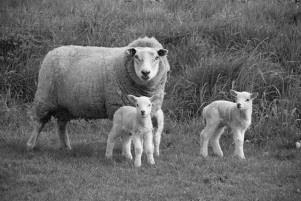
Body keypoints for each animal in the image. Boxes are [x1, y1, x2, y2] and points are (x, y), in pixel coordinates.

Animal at [25, 36, 169, 157]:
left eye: (156, 57)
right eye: (137, 57)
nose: (145, 73)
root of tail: (52, 51)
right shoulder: (119, 108)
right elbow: (126, 135)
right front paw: (127, 152)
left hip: (65, 105)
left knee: (61, 125)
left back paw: (66, 147)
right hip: (45, 97)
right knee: (39, 123)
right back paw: (30, 145)